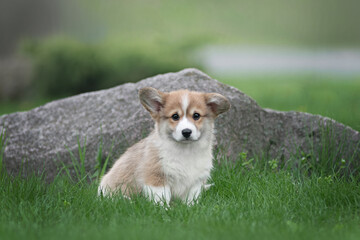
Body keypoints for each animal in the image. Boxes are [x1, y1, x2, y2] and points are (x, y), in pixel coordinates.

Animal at [97, 87, 229, 205]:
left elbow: (191, 199)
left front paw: (191, 208)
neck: (185, 150)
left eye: (196, 115)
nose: (186, 132)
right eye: (175, 116)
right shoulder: (156, 177)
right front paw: (165, 210)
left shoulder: (196, 181)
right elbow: (161, 198)